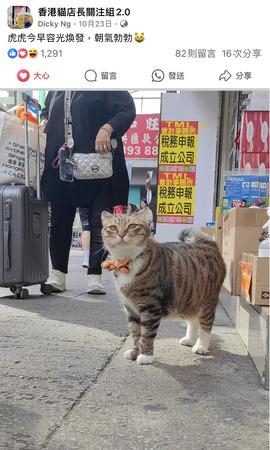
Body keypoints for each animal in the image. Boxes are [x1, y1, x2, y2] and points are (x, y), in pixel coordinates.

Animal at [101, 210, 226, 366]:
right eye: (113, 227)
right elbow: (135, 333)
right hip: (188, 300)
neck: (128, 261)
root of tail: (209, 244)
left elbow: (147, 335)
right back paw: (190, 340)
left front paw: (145, 356)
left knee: (206, 324)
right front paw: (134, 353)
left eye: (132, 226)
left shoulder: (150, 307)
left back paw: (201, 346)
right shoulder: (130, 308)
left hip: (208, 301)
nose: (122, 234)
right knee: (193, 321)